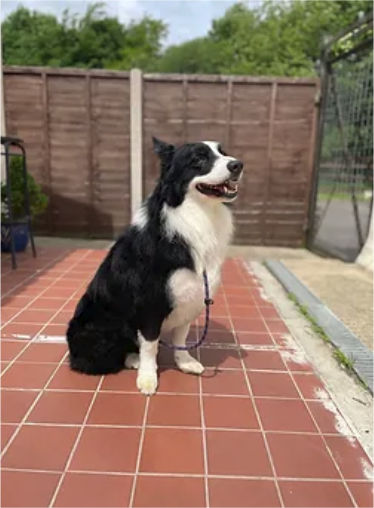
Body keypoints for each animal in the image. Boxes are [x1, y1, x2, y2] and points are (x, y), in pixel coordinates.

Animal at [67, 139, 243, 396]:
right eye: (199, 158)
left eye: (224, 152)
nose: (238, 164)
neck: (196, 216)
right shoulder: (149, 304)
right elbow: (150, 345)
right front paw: (148, 377)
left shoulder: (190, 296)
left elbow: (181, 337)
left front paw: (184, 362)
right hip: (97, 330)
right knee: (101, 359)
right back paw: (134, 360)